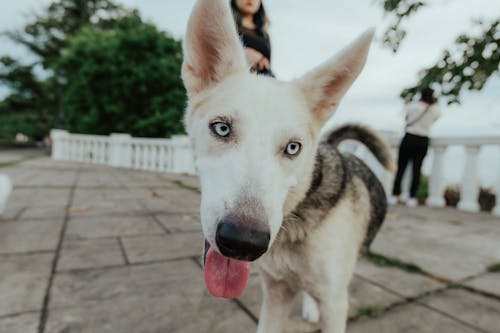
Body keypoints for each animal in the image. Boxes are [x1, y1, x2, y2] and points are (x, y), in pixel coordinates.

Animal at [182, 1, 392, 330]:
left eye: (293, 148)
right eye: (222, 129)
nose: (243, 242)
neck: (298, 216)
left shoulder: (335, 304)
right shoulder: (275, 293)